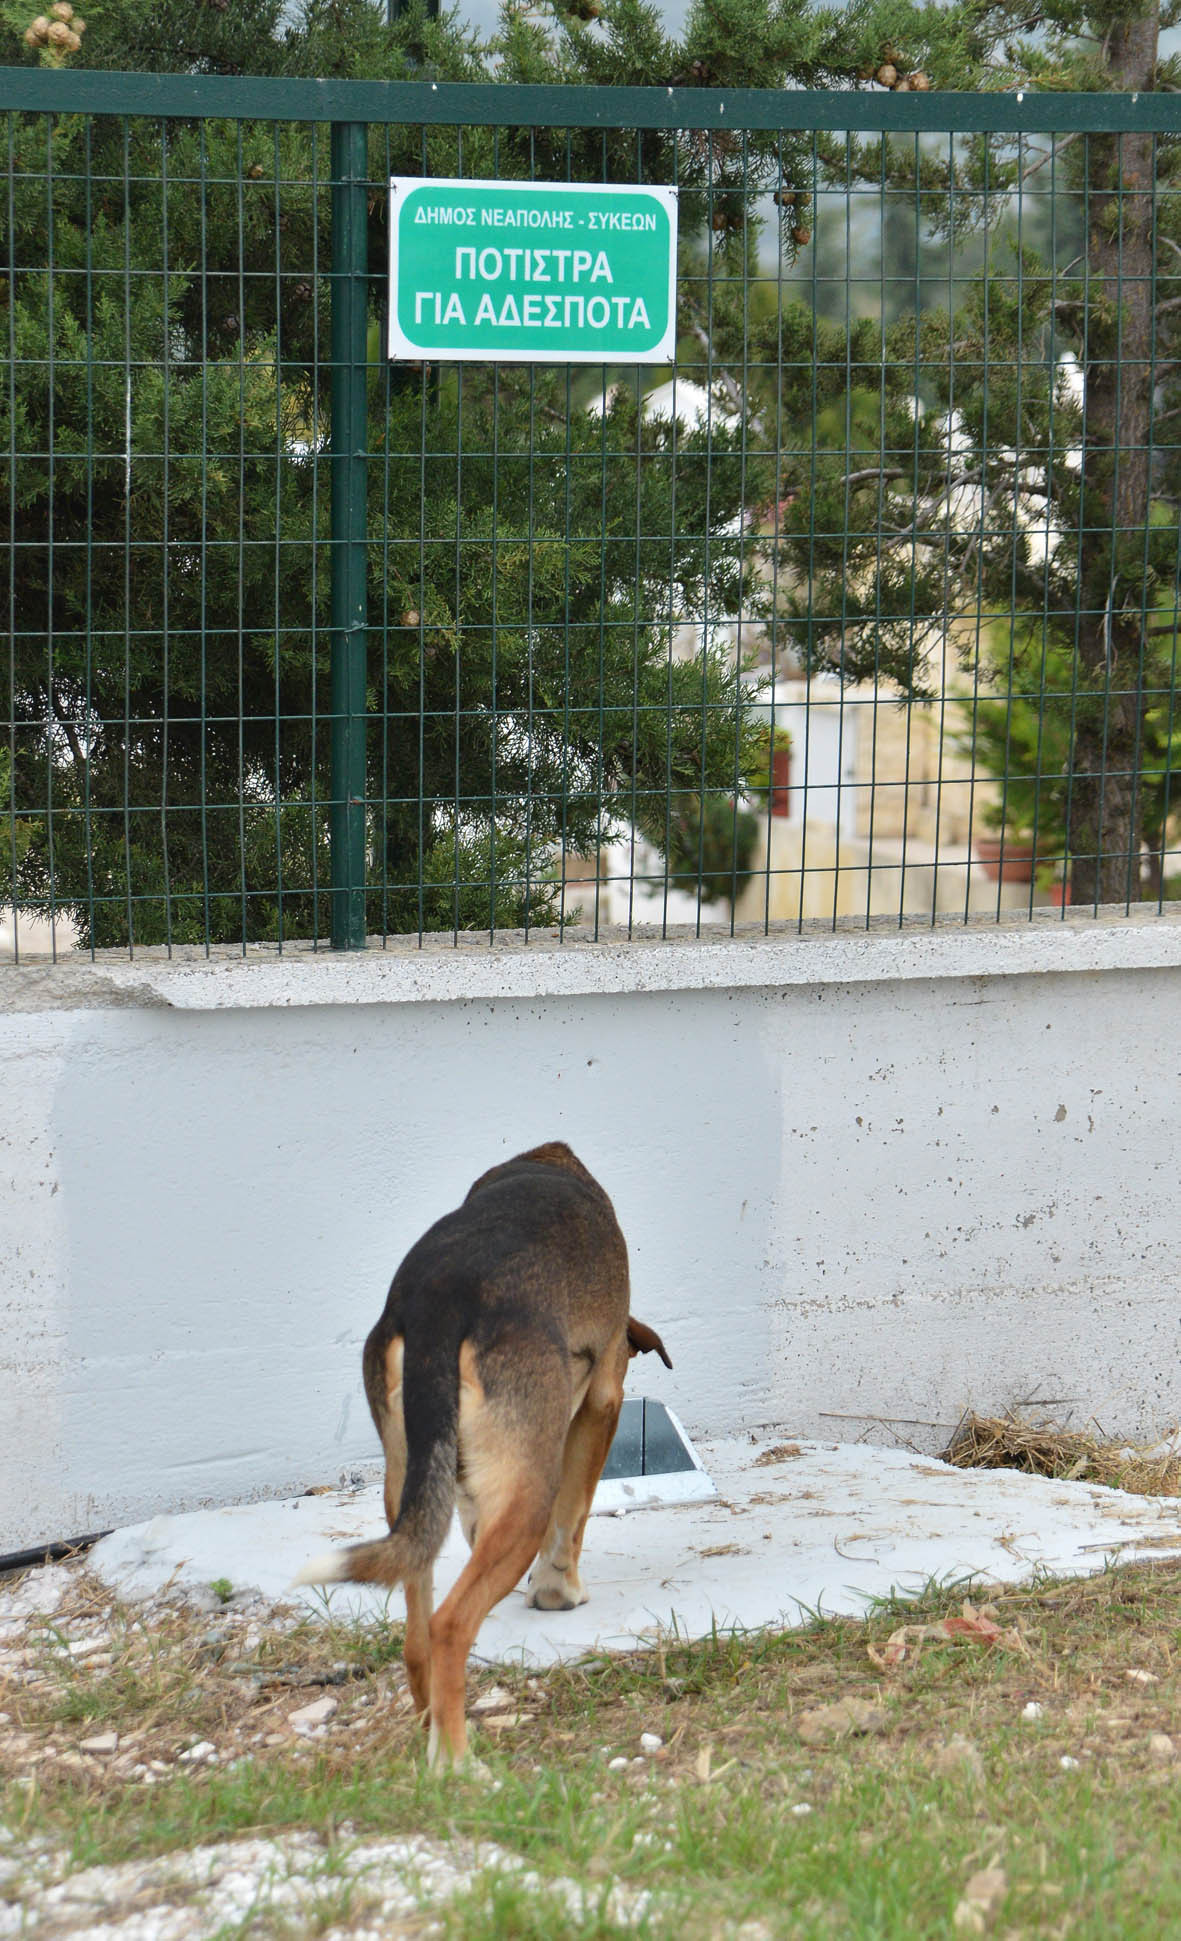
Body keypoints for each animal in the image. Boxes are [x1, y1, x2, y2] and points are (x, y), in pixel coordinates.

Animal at [293, 1141, 668, 1770]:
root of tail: (440, 1303)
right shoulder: (602, 1403)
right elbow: (573, 1516)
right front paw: (558, 1590)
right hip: (526, 1501)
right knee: (449, 1626)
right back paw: (458, 1765)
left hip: (408, 1488)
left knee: (416, 1637)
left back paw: (433, 1734)